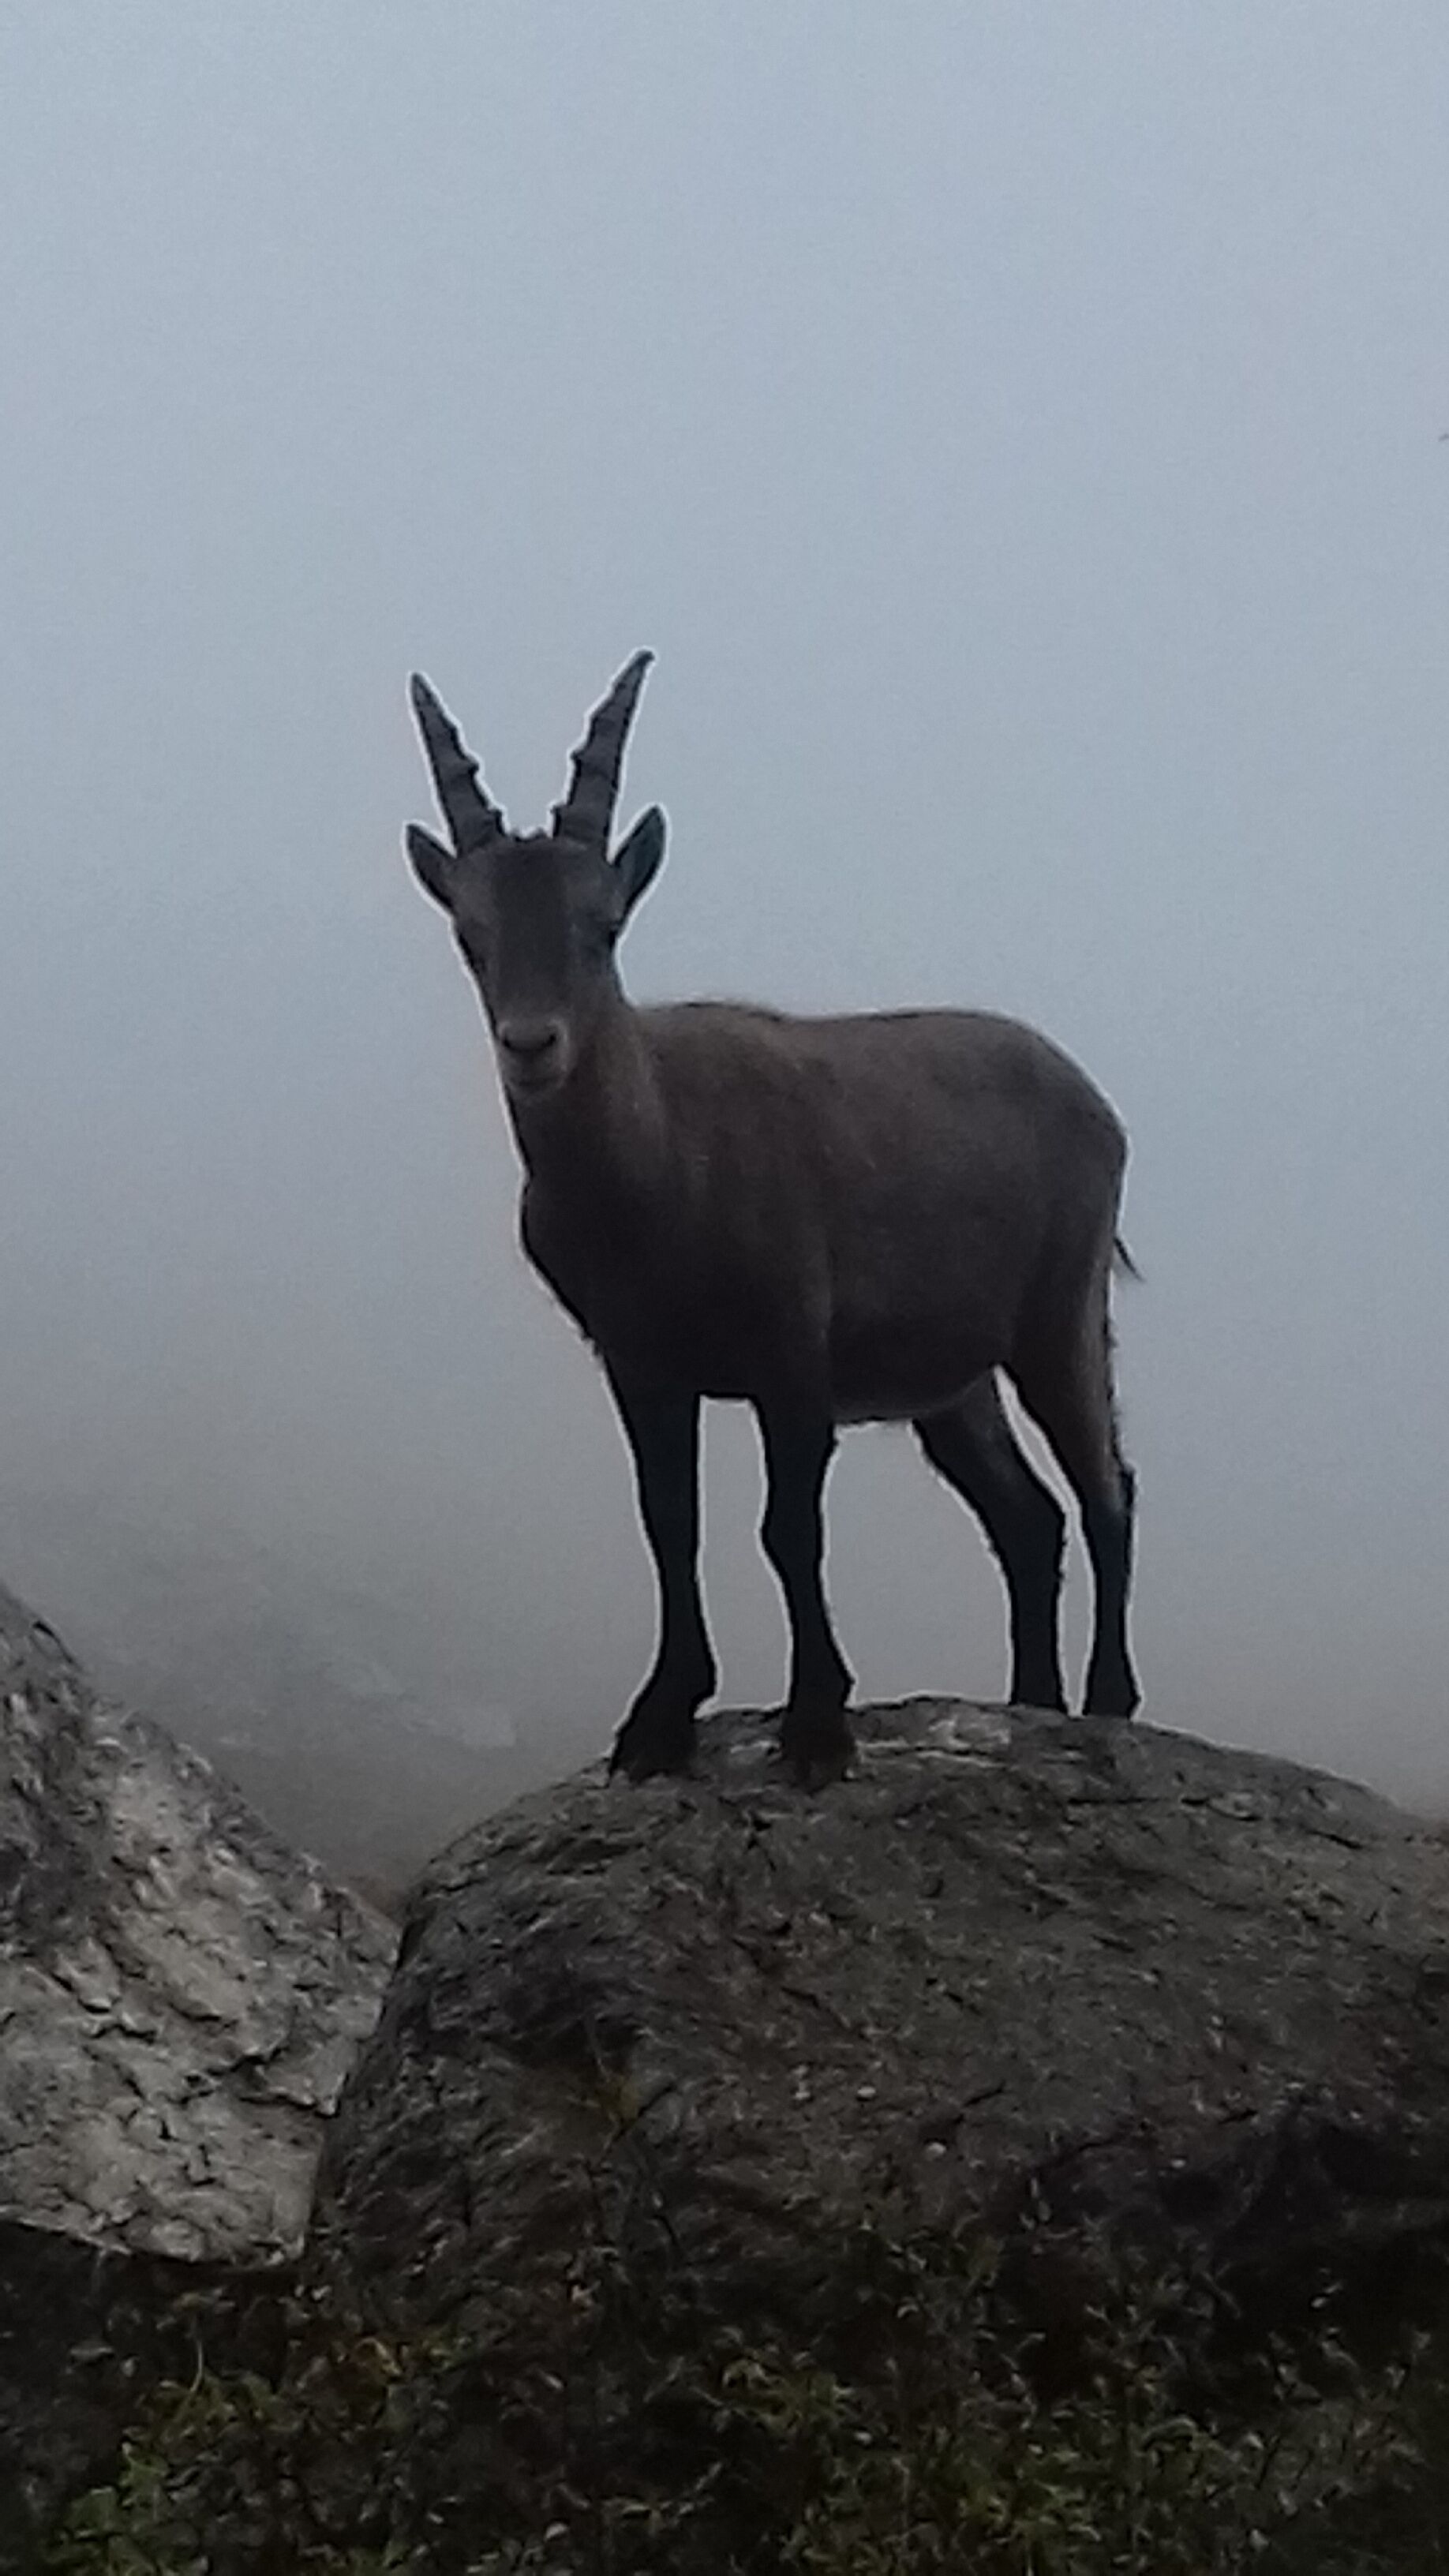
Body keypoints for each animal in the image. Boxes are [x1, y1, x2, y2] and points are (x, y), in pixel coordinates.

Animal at [405, 654, 1140, 1785]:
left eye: (602, 929)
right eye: (470, 938)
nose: (532, 1045)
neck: (655, 1178)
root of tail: (1092, 1099)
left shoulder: (793, 1348)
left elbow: (787, 1528)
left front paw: (817, 1723)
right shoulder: (640, 1362)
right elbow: (671, 1522)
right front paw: (660, 1720)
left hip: (1059, 1310)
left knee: (1107, 1487)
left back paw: (1105, 1703)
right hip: (951, 1383)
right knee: (1028, 1518)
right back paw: (1031, 1701)